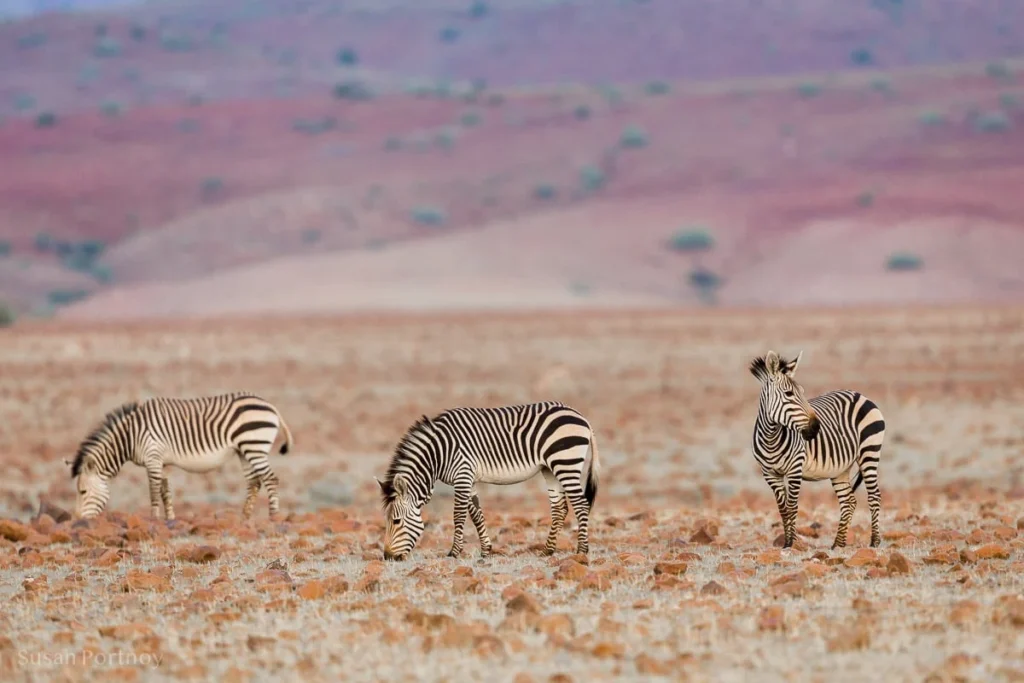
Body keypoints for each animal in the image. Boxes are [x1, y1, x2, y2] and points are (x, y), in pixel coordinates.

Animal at [64, 392, 294, 521]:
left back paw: (273, 517)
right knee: (254, 482)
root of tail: (271, 406)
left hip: (254, 446)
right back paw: (245, 517)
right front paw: (170, 519)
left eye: (83, 492)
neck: (130, 436)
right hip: (244, 450)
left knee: (271, 479)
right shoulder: (162, 462)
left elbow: (153, 492)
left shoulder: (153, 457)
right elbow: (165, 491)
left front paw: (154, 519)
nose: (78, 520)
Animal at [375, 401, 601, 561]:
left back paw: (582, 550)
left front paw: (454, 552)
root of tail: (580, 416)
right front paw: (486, 550)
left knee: (581, 504)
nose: (388, 557)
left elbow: (459, 515)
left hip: (566, 462)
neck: (438, 454)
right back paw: (548, 550)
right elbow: (476, 514)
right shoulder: (469, 479)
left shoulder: (463, 475)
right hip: (550, 468)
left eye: (396, 521)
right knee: (560, 507)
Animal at [748, 350, 885, 549]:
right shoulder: (770, 474)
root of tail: (859, 394)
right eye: (789, 393)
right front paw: (787, 543)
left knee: (874, 496)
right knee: (849, 501)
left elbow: (792, 507)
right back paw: (838, 544)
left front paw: (791, 544)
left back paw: (874, 541)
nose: (816, 427)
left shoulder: (795, 470)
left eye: (803, 392)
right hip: (841, 468)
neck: (771, 439)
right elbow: (783, 509)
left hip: (870, 451)